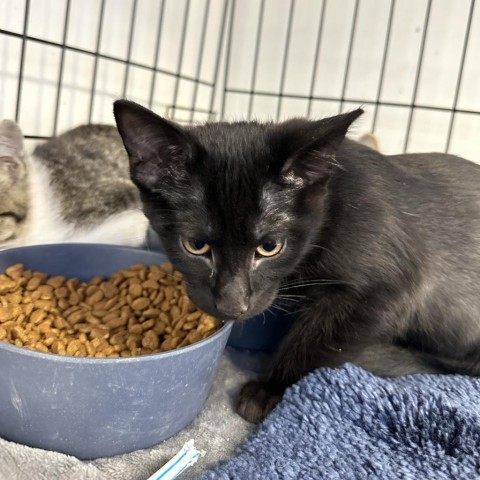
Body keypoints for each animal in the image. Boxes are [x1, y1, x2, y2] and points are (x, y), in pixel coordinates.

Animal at [113, 99, 480, 422]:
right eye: (195, 245)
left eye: (270, 246)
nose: (233, 305)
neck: (332, 205)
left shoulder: (386, 290)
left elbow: (318, 339)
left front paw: (268, 389)